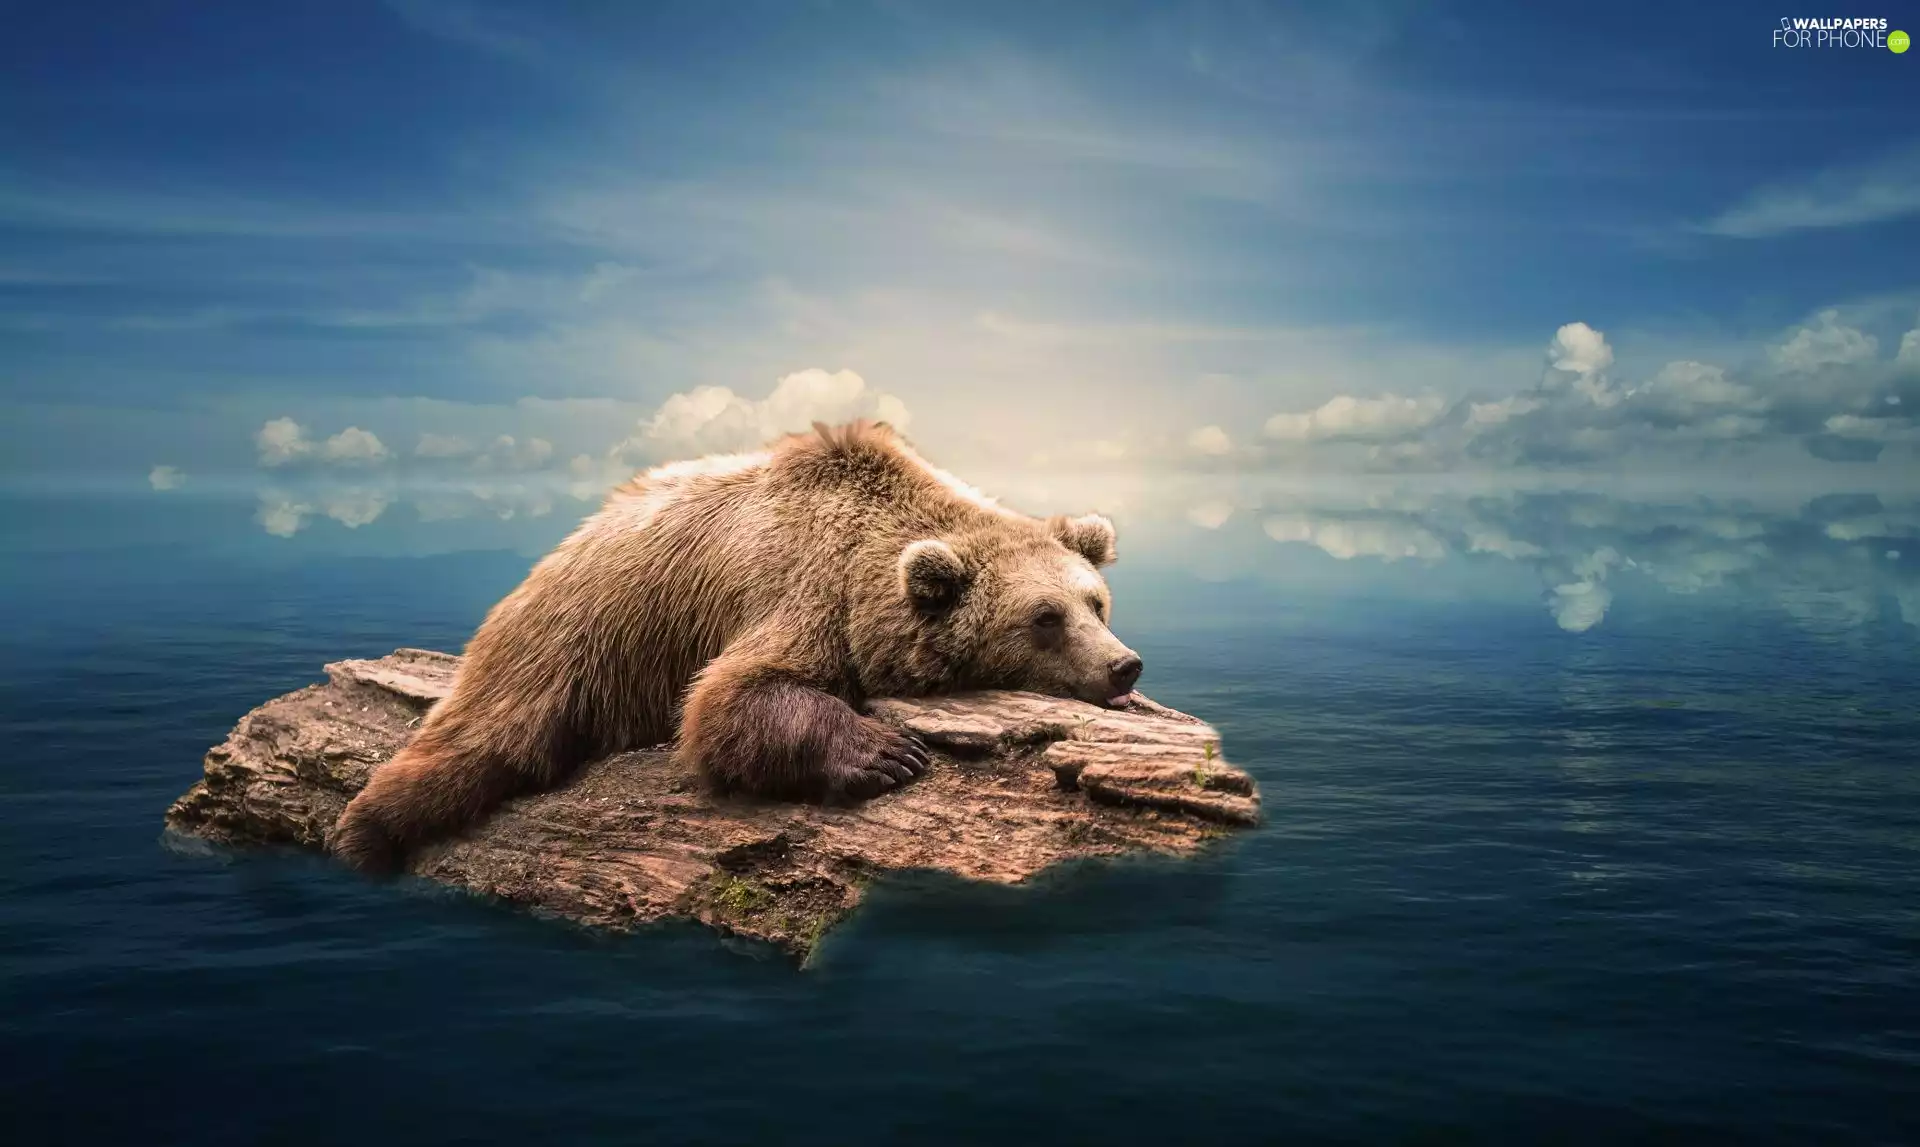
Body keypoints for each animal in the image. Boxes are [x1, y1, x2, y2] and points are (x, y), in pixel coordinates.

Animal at [328, 419, 1144, 874]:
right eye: (1044, 618)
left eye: (1095, 602)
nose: (1123, 664)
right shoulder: (799, 591)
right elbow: (730, 698)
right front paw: (885, 752)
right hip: (572, 640)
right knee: (486, 739)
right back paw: (368, 827)